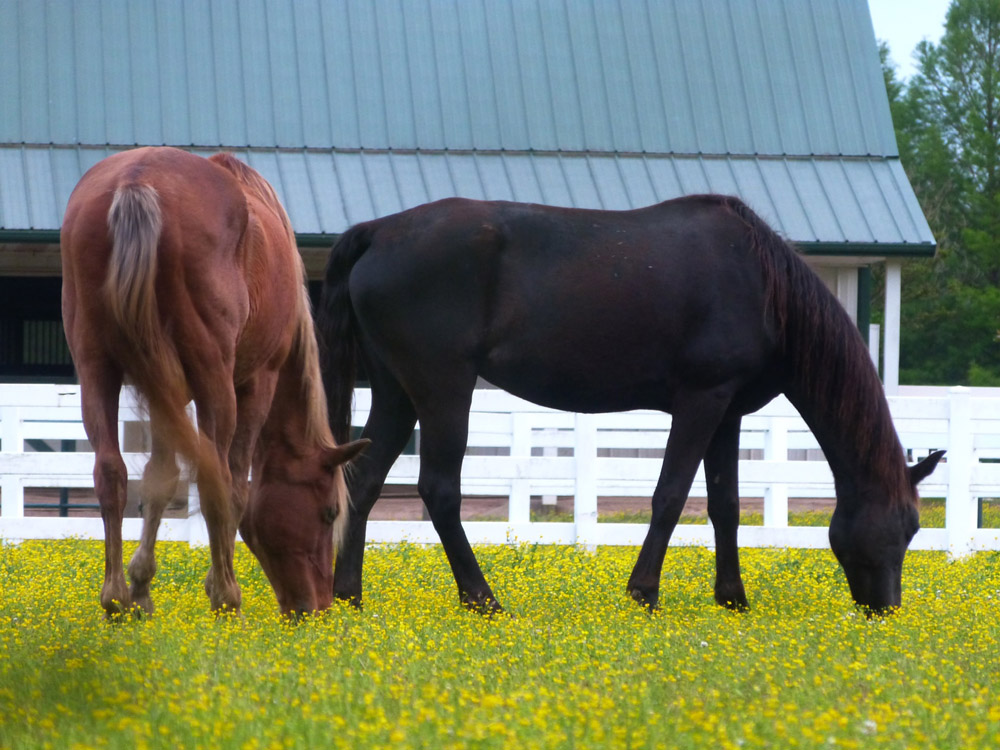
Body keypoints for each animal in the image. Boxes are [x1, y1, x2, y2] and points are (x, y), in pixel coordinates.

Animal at [61, 145, 368, 616]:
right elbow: (234, 488)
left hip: (98, 370)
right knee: (214, 477)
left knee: (111, 471)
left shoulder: (163, 390)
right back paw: (227, 596)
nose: (316, 606)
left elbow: (160, 477)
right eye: (329, 512)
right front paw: (215, 591)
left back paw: (115, 599)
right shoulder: (257, 381)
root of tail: (136, 181)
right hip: (216, 383)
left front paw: (141, 587)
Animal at [318, 195, 944, 616]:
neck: (763, 286)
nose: (887, 609)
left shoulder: (727, 413)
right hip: (443, 388)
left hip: (397, 391)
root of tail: (378, 232)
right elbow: (670, 496)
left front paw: (733, 600)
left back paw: (348, 596)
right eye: (904, 527)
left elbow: (726, 507)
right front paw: (644, 593)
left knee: (363, 481)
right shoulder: (700, 402)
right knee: (440, 491)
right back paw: (483, 599)